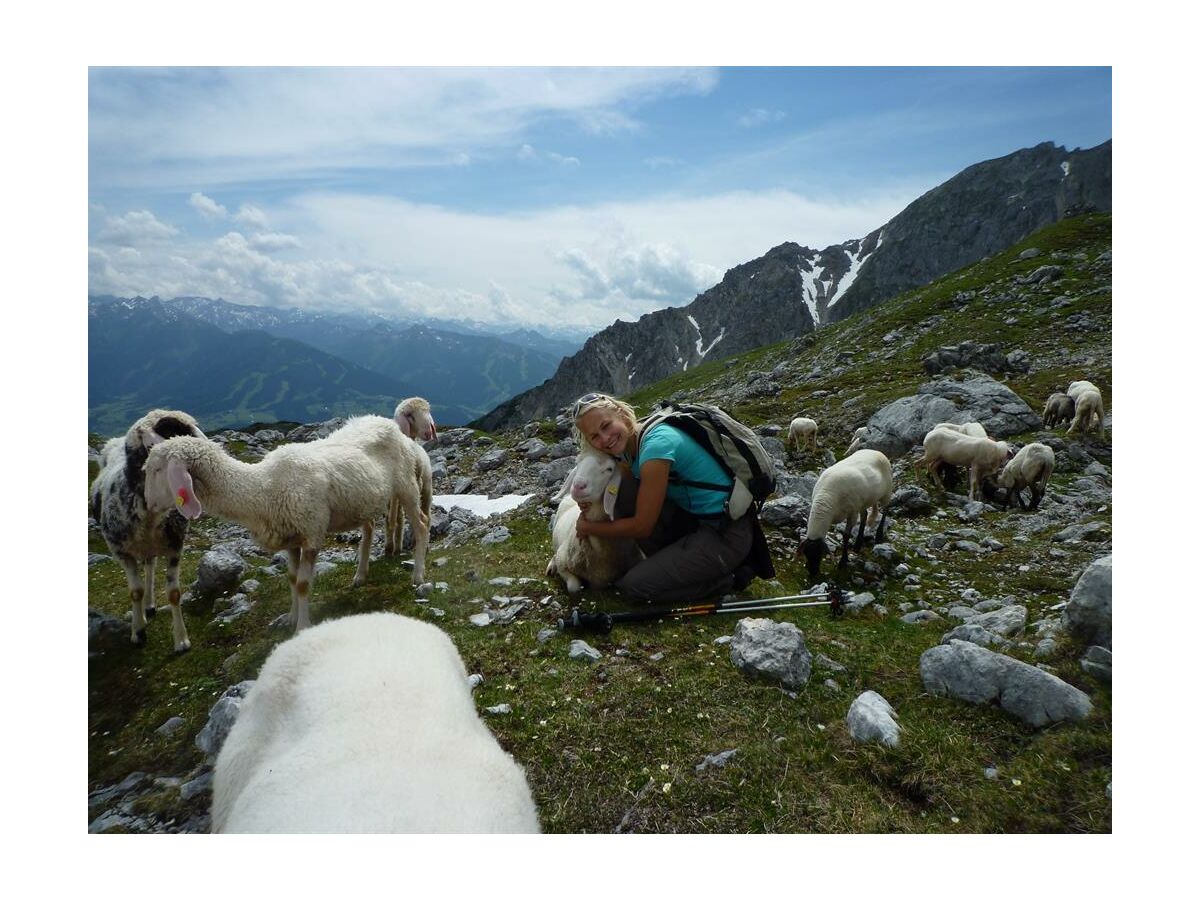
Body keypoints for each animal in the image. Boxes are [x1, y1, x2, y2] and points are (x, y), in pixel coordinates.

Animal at [90, 410, 207, 657]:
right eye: (171, 434)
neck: (150, 513)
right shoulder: (121, 551)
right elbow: (135, 592)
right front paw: (138, 633)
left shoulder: (175, 547)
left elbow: (174, 593)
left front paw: (181, 641)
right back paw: (144, 612)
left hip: (152, 545)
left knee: (150, 565)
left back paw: (150, 605)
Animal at [142, 417, 429, 633]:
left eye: (157, 470)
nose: (147, 503)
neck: (263, 487)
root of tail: (388, 423)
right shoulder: (291, 538)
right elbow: (291, 579)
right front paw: (290, 617)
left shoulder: (312, 533)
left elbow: (302, 585)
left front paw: (302, 626)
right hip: (365, 500)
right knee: (368, 530)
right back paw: (360, 575)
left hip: (406, 485)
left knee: (422, 525)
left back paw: (417, 575)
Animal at [544, 448, 643, 595]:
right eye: (577, 462)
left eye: (609, 469)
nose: (578, 486)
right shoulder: (563, 560)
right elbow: (574, 587)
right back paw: (552, 565)